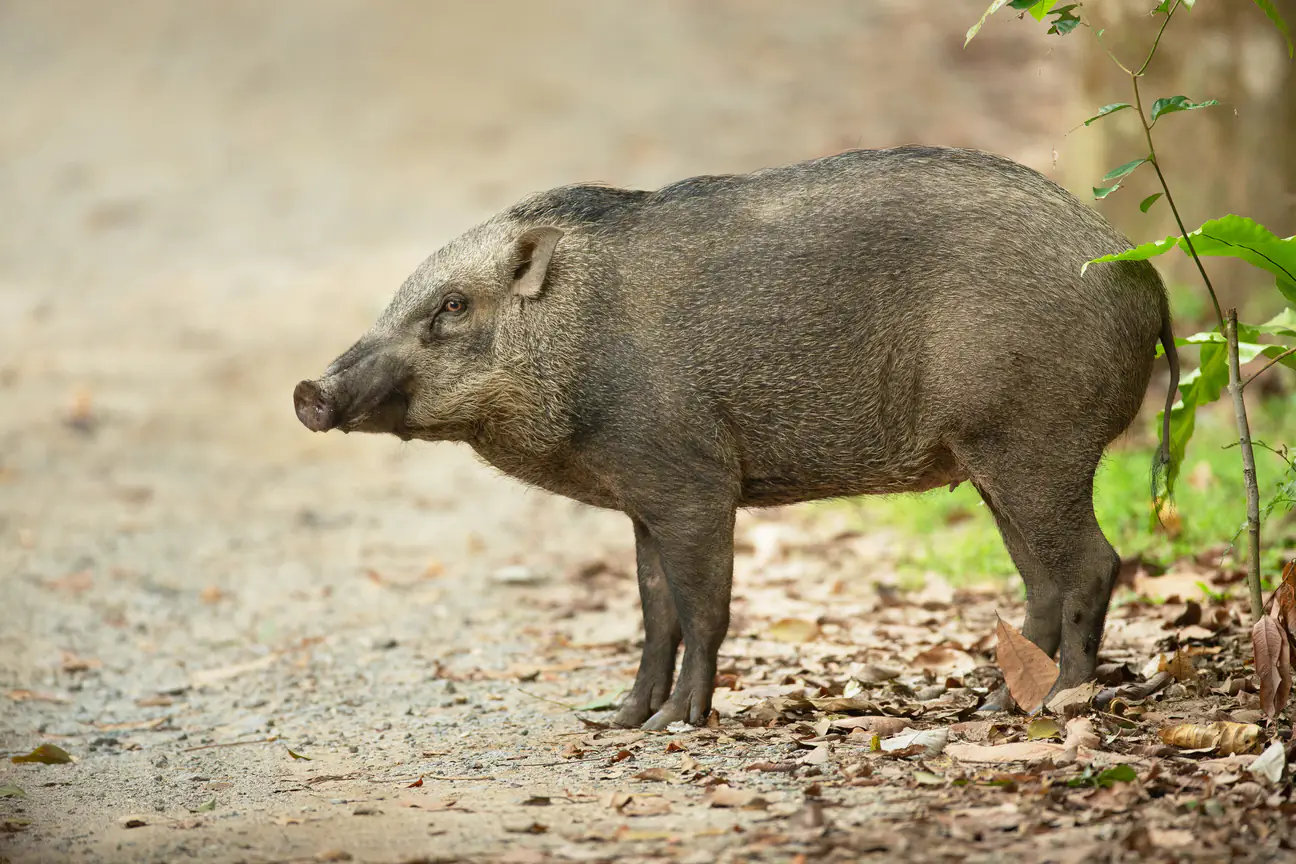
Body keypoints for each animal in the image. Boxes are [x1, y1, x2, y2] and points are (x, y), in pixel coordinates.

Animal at [294, 146, 1179, 729]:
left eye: (452, 306)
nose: (310, 392)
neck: (578, 343)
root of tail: (1147, 273)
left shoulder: (692, 483)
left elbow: (704, 609)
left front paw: (674, 726)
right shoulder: (640, 498)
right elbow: (655, 612)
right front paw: (618, 721)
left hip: (1034, 442)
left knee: (1093, 565)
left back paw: (1060, 704)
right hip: (994, 460)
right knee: (1043, 581)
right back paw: (992, 704)